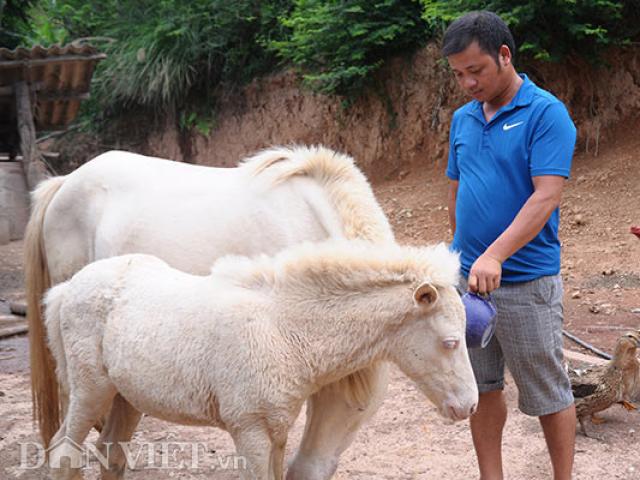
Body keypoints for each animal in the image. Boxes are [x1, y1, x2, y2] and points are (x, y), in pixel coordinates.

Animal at [43, 242, 476, 480]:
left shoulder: (277, 431)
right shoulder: (248, 429)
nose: (468, 405)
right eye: (450, 342)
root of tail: (67, 288)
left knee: (109, 455)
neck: (281, 327)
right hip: (91, 391)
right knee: (62, 453)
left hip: (127, 399)